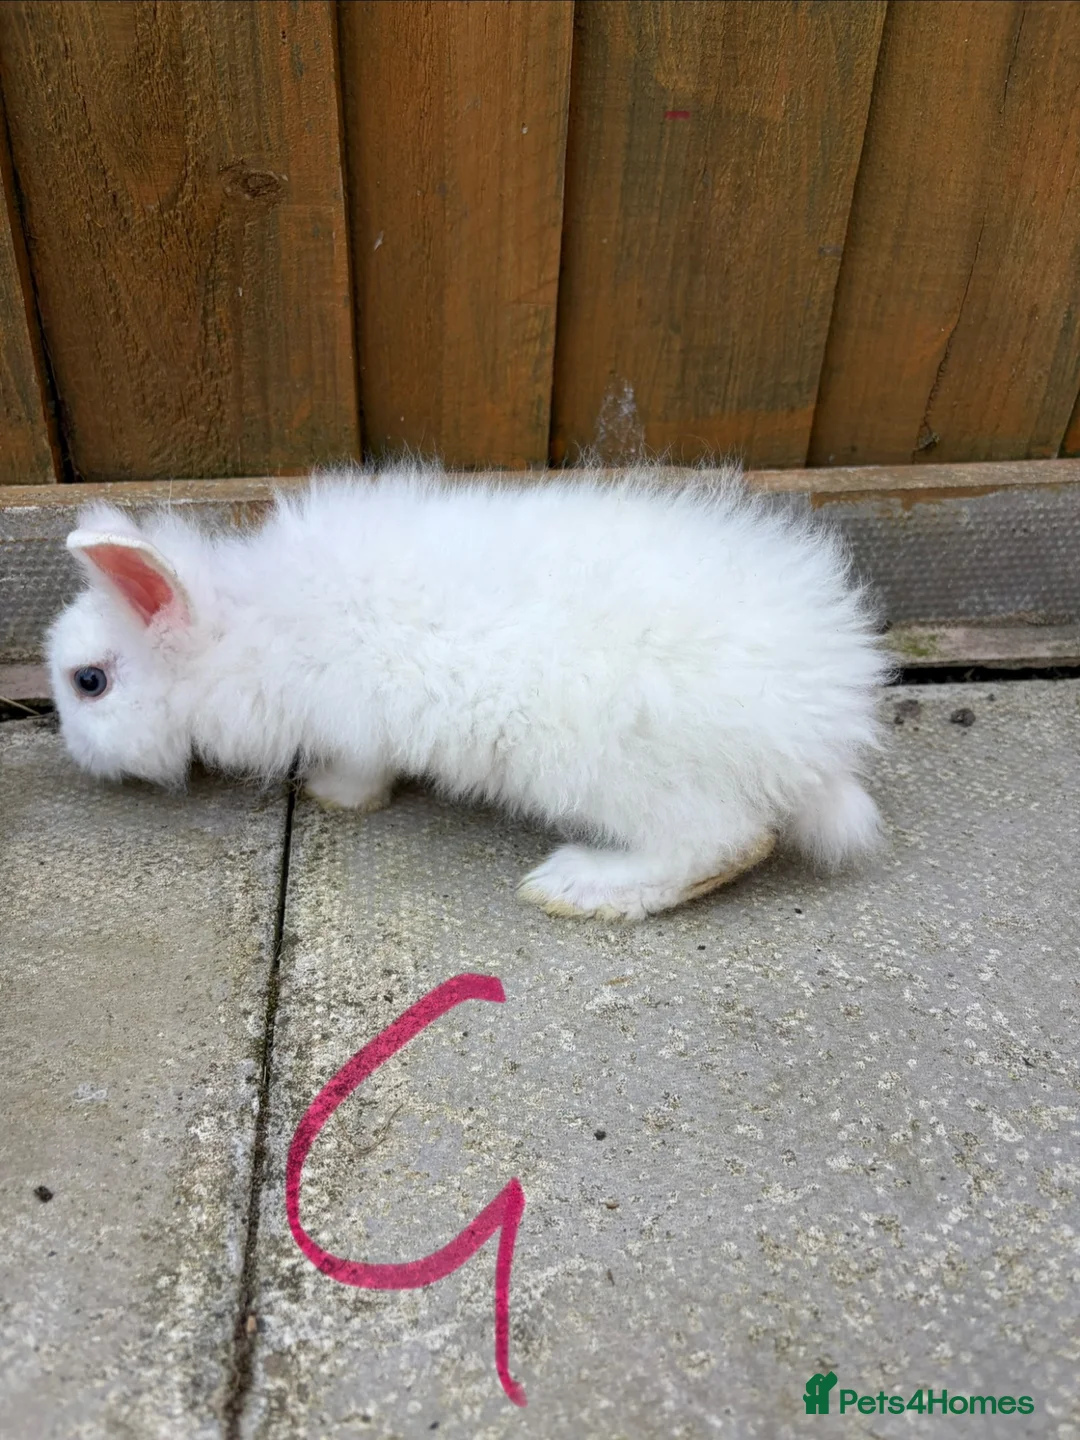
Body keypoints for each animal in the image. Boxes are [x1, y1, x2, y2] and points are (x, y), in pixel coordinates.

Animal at [46, 461, 890, 920]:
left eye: (89, 683)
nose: (72, 753)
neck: (244, 629)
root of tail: (822, 728)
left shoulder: (354, 721)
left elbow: (361, 773)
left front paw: (329, 796)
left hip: (628, 773)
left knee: (726, 842)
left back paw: (578, 886)